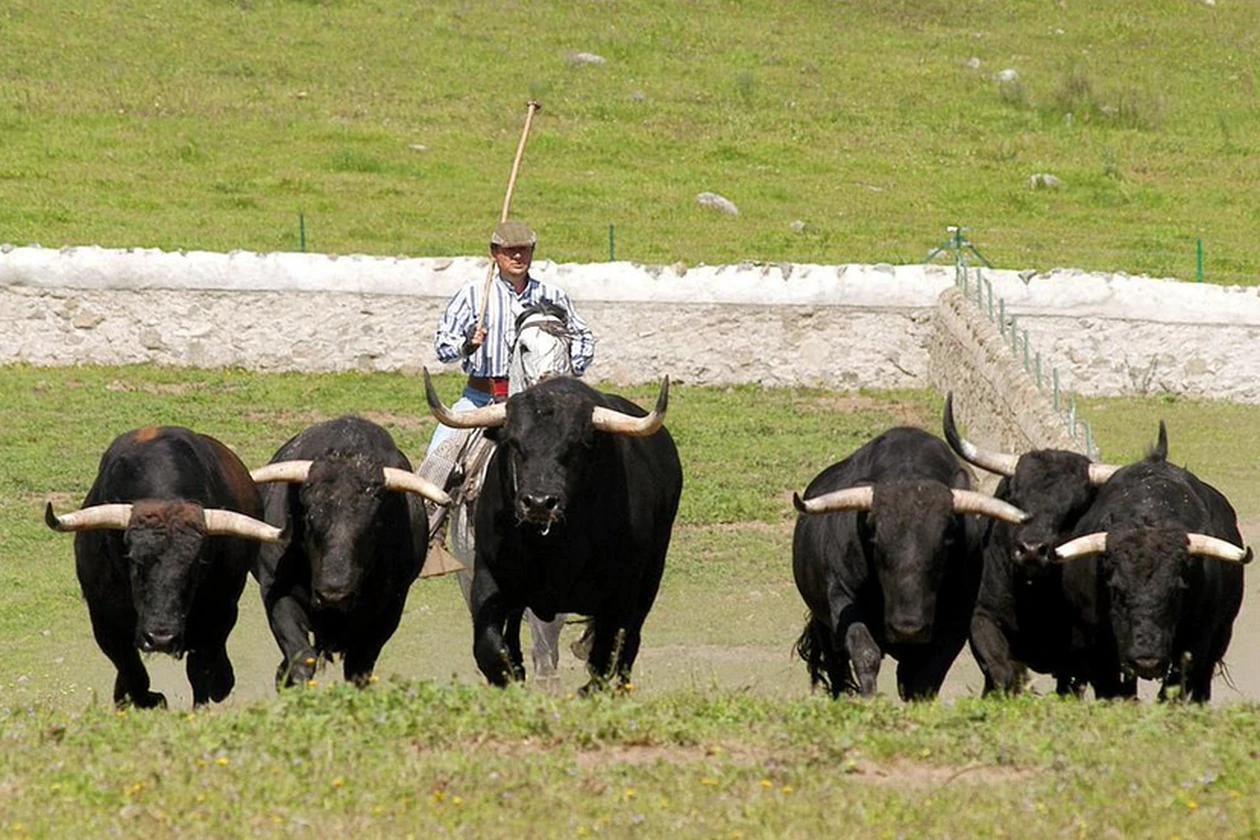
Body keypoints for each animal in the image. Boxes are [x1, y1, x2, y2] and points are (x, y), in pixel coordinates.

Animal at [45, 428, 286, 710]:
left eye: (195, 567)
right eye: (135, 562)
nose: (160, 638)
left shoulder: (219, 612)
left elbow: (200, 670)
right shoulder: (104, 619)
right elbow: (132, 670)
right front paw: (150, 699)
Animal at [248, 415, 451, 690]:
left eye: (374, 524)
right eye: (309, 517)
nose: (334, 594)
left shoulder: (388, 611)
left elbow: (359, 668)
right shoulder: (277, 591)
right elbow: (301, 658)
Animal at [423, 370, 680, 695]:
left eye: (577, 445)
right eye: (514, 443)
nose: (539, 502)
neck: (555, 547)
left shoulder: (621, 593)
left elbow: (605, 656)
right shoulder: (487, 575)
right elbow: (492, 649)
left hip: (650, 577)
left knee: (628, 645)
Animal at [791, 428, 1028, 705]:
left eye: (947, 539)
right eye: (875, 537)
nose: (908, 628)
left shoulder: (957, 617)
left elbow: (929, 673)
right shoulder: (843, 597)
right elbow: (865, 652)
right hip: (823, 625)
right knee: (836, 664)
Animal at [1053, 420, 1249, 705]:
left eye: (1177, 590)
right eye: (1116, 589)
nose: (1146, 661)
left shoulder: (1197, 644)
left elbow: (1173, 690)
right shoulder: (1096, 644)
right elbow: (1112, 689)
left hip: (1220, 638)